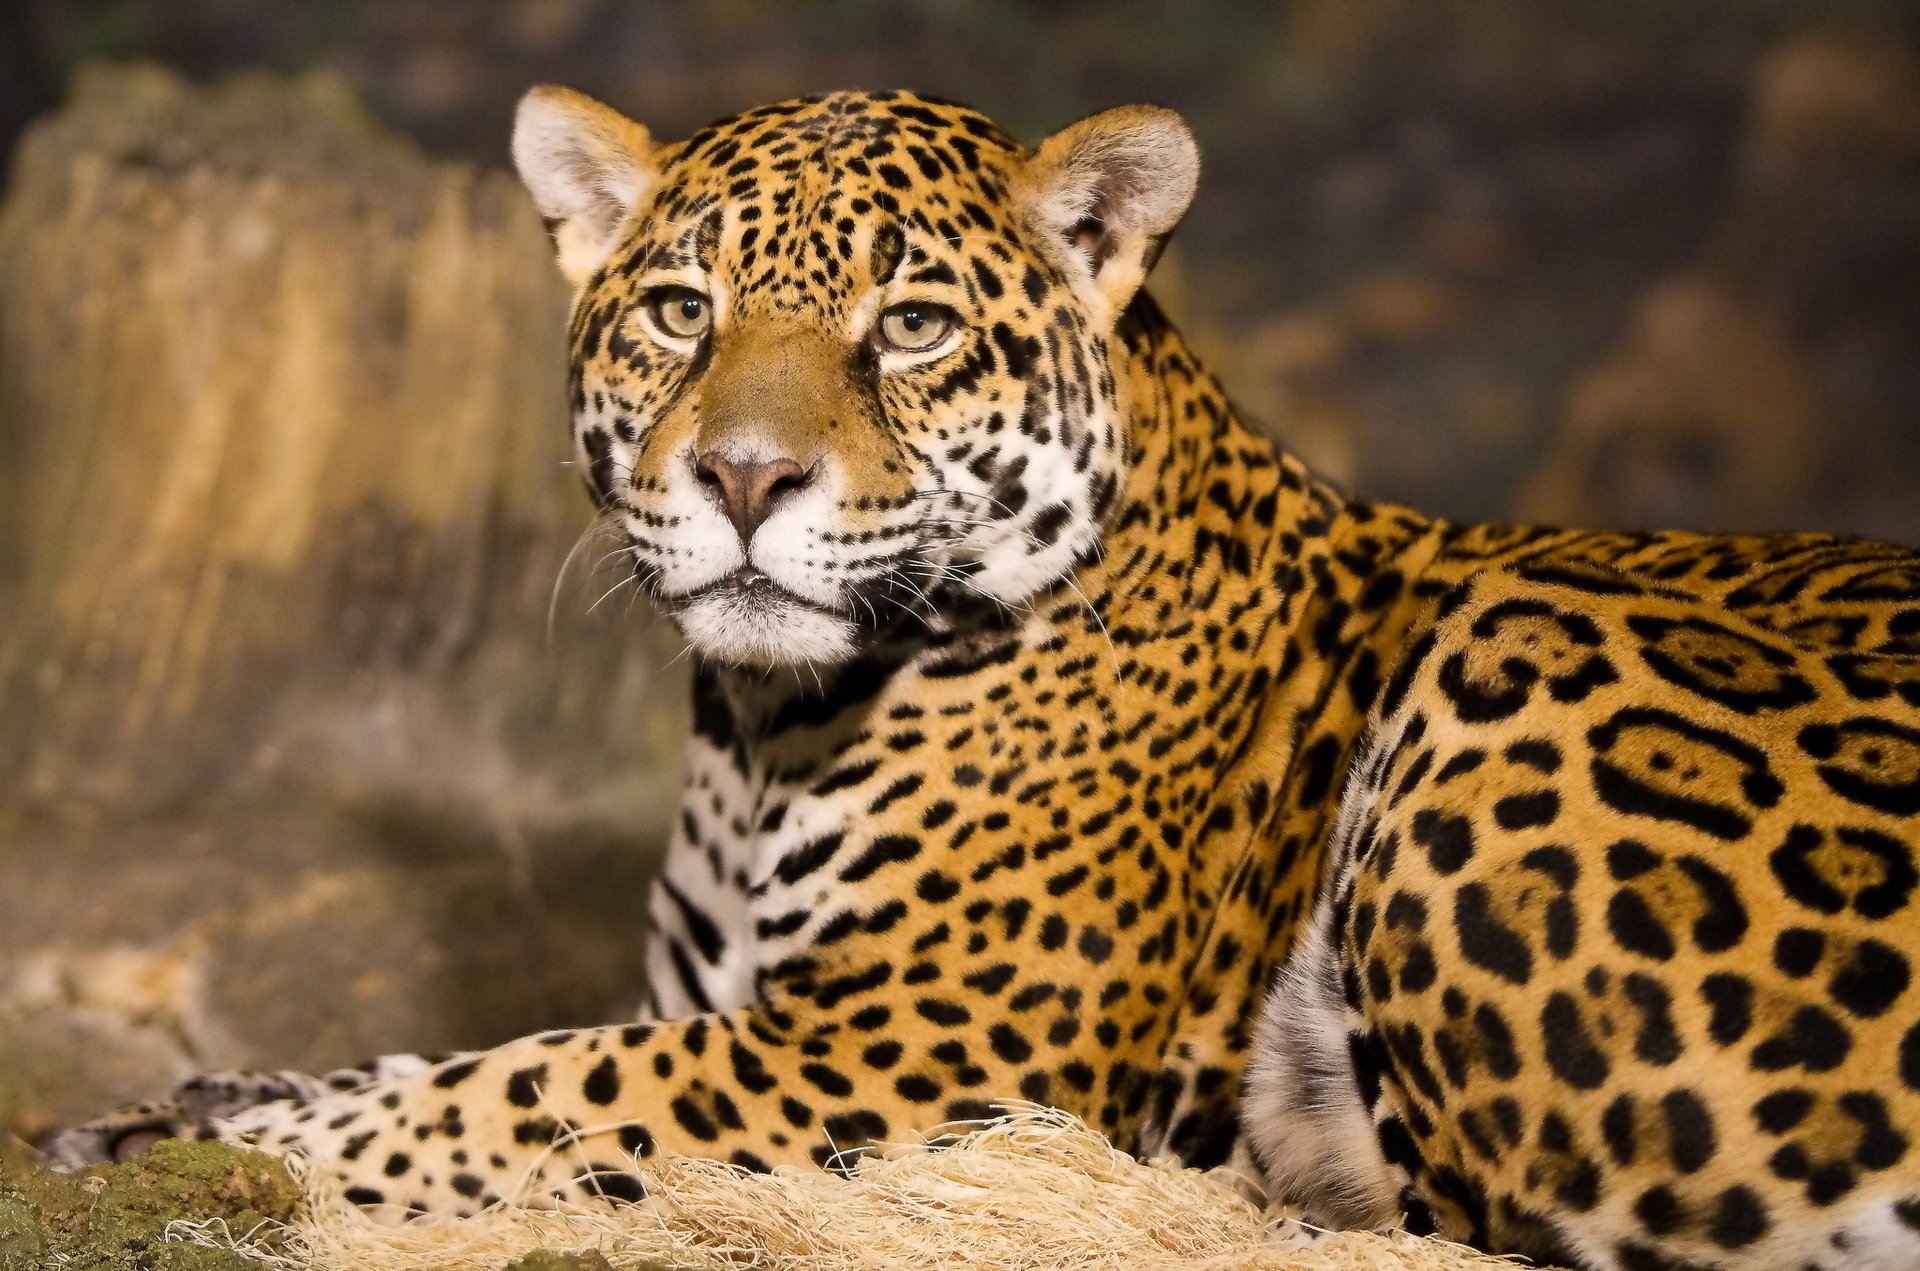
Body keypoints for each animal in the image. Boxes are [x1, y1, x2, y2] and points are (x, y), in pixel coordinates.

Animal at [42, 85, 1920, 1270]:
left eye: (915, 327)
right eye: (679, 310)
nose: (741, 477)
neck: (762, 735)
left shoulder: (907, 1048)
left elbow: (534, 1084)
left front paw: (192, 1153)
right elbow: (448, 1065)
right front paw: (196, 1107)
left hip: (1522, 638)